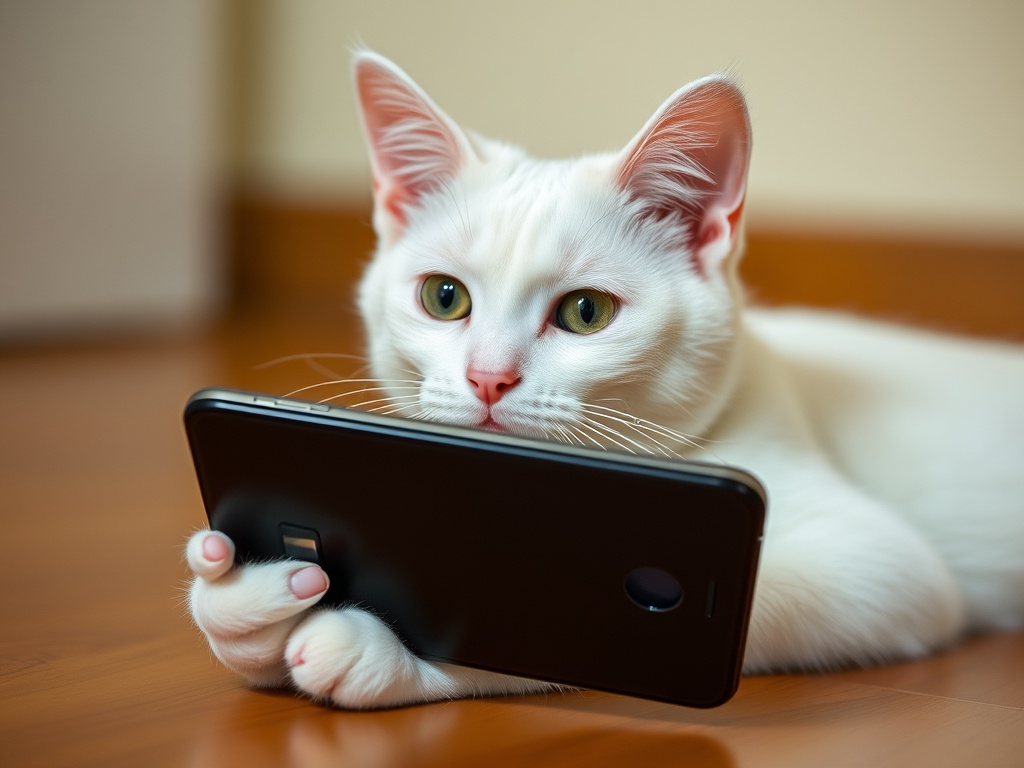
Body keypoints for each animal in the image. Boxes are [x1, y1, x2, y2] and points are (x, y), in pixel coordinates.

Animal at [186, 49, 1024, 708]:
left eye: (586, 312)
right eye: (444, 297)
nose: (488, 378)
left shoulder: (881, 567)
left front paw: (378, 651)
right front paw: (247, 607)